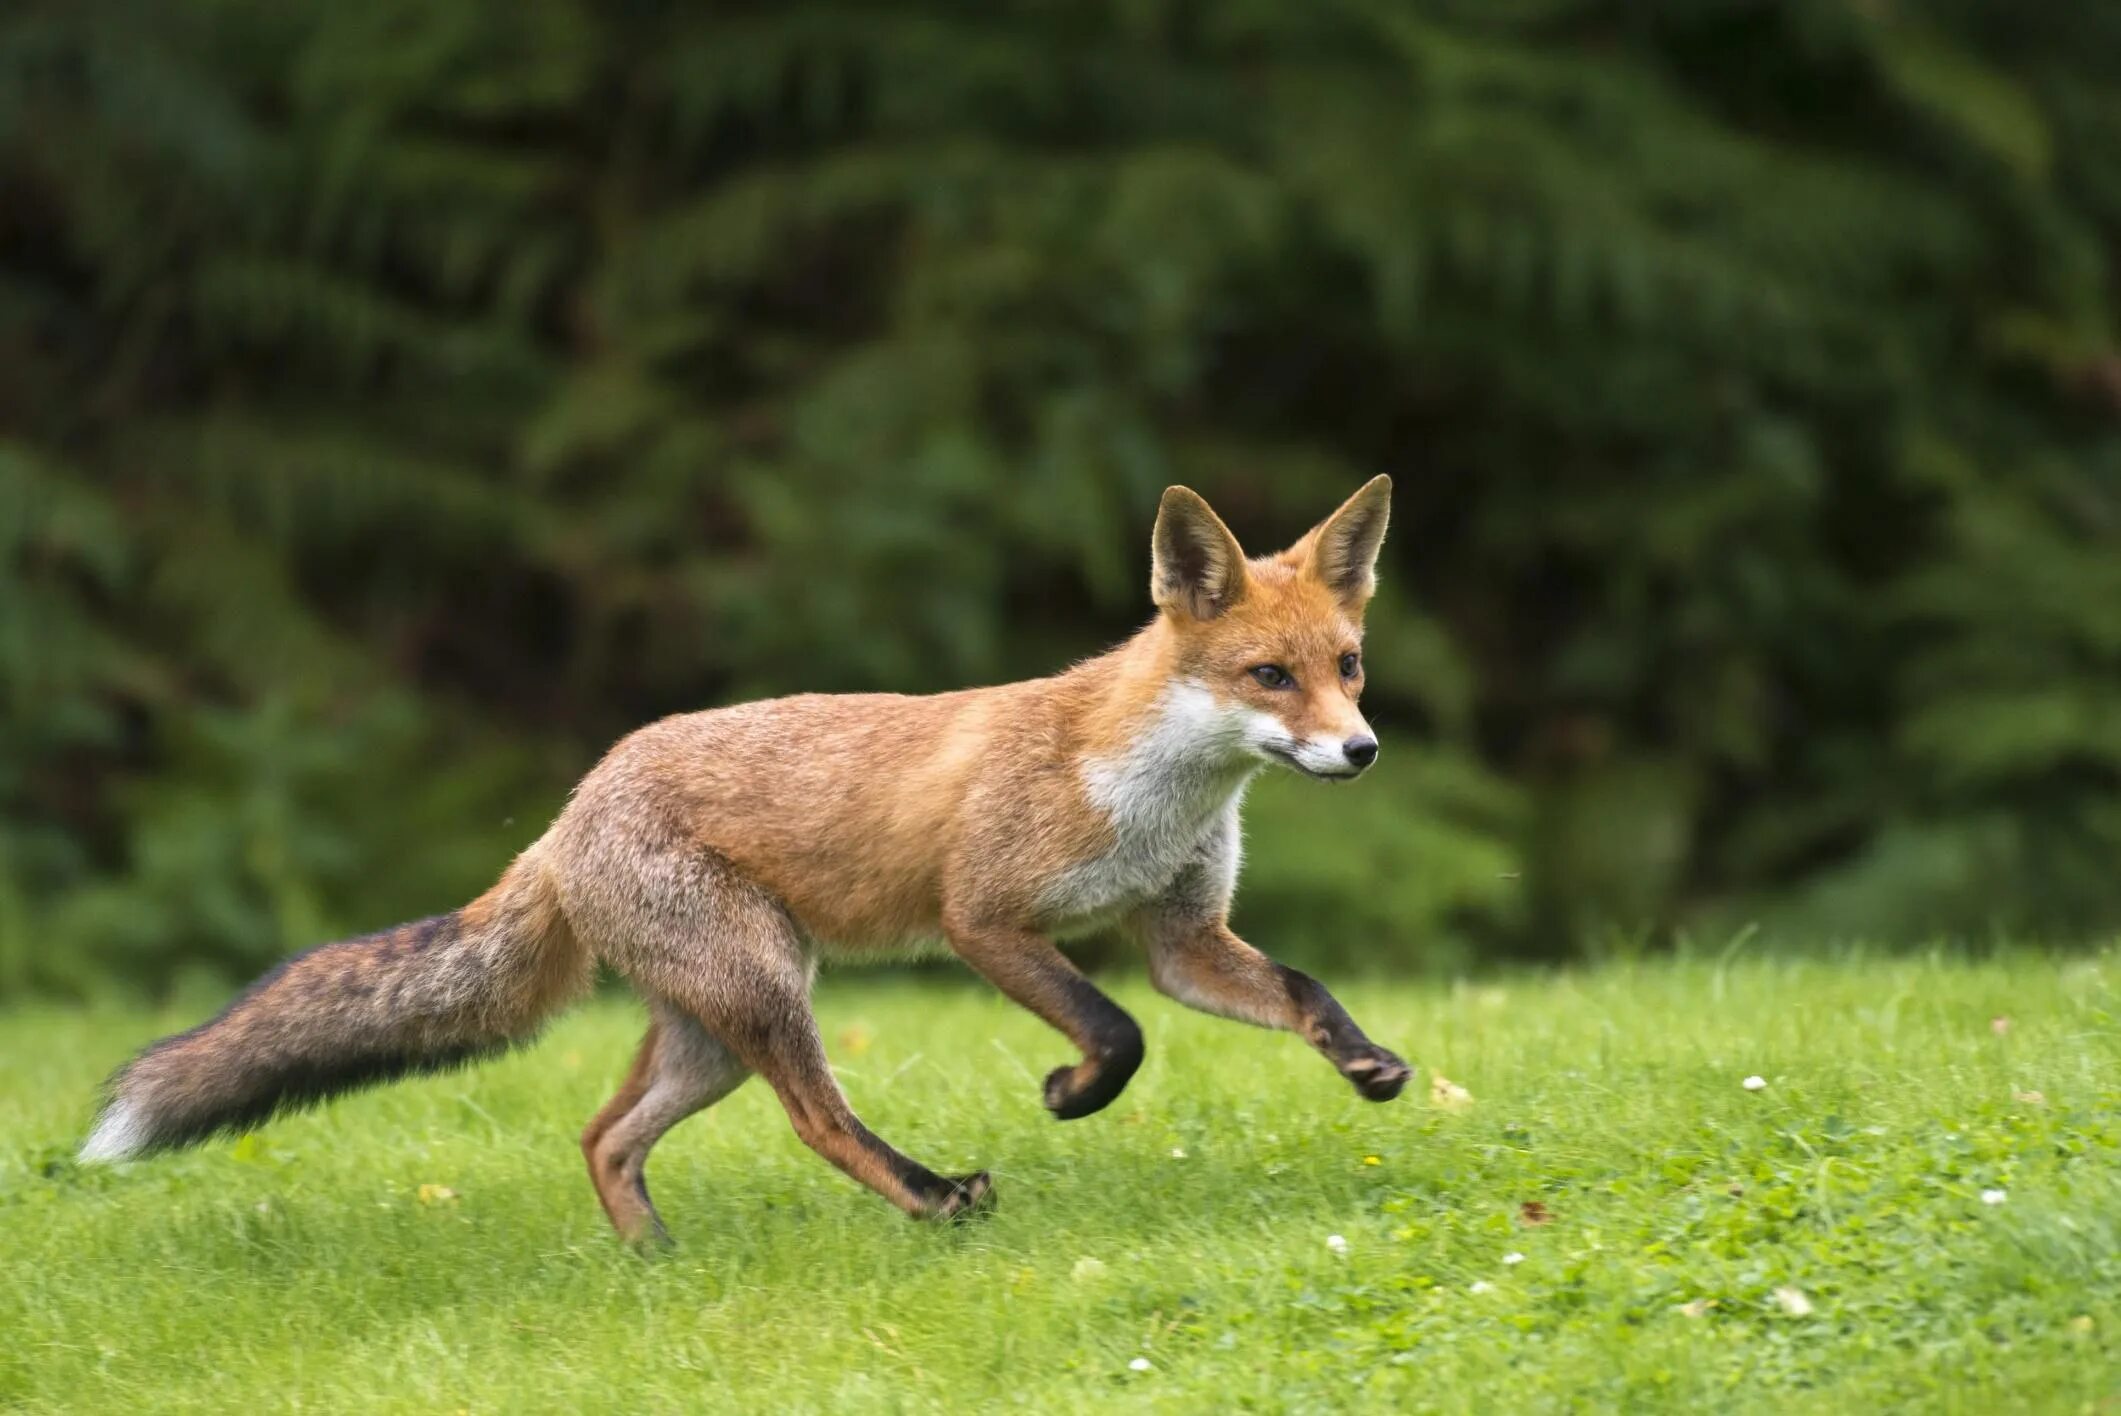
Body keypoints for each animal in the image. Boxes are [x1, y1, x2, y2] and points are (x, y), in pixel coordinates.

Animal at [78, 481, 1408, 1246]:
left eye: (1347, 665)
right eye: (1267, 678)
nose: (1361, 751)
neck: (1147, 789)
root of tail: (566, 816)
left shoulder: (1183, 938)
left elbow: (1297, 991)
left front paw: (1367, 1062)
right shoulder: (983, 918)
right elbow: (1119, 1032)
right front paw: (1070, 1093)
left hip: (711, 1032)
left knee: (603, 1137)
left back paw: (654, 1264)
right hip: (768, 995)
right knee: (817, 1122)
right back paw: (930, 1200)